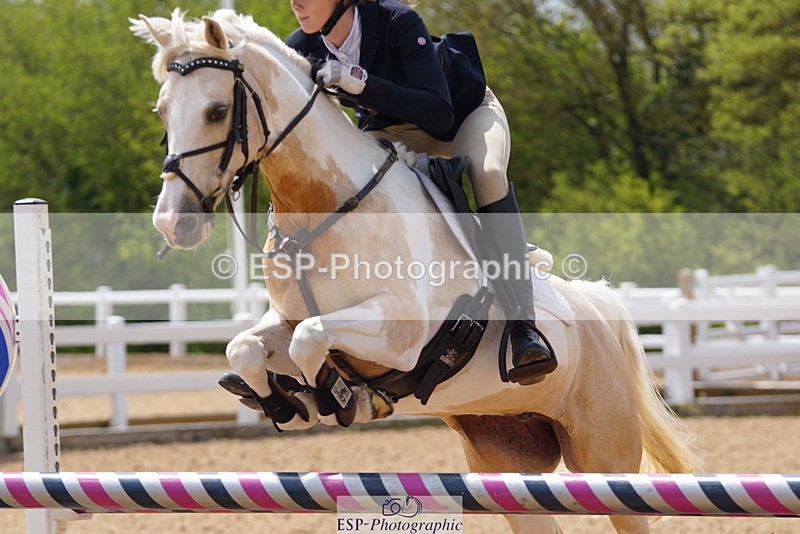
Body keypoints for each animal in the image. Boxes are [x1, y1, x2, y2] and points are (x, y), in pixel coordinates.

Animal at [131, 10, 696, 533]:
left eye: (216, 110)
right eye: (162, 112)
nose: (172, 222)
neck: (324, 206)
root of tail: (599, 305)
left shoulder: (398, 332)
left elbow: (311, 339)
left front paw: (339, 395)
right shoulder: (287, 320)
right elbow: (247, 346)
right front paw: (290, 404)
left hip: (604, 456)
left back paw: (528, 349)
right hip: (503, 455)